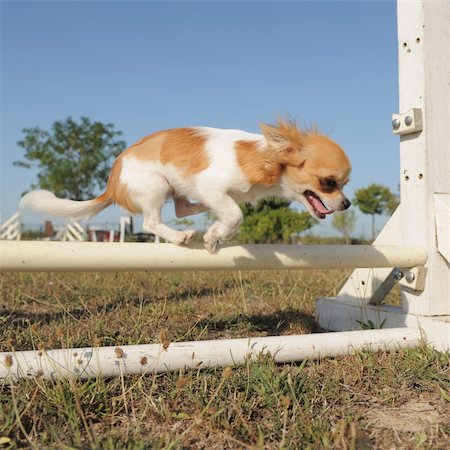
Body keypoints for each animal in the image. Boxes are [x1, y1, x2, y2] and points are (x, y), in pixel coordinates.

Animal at [21, 118, 352, 251]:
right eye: (329, 183)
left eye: (346, 184)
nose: (347, 203)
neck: (265, 158)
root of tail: (112, 183)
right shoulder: (213, 187)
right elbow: (236, 215)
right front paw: (214, 236)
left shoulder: (222, 194)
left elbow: (231, 213)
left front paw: (216, 235)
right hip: (154, 185)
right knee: (152, 223)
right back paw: (181, 236)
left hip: (172, 188)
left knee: (181, 209)